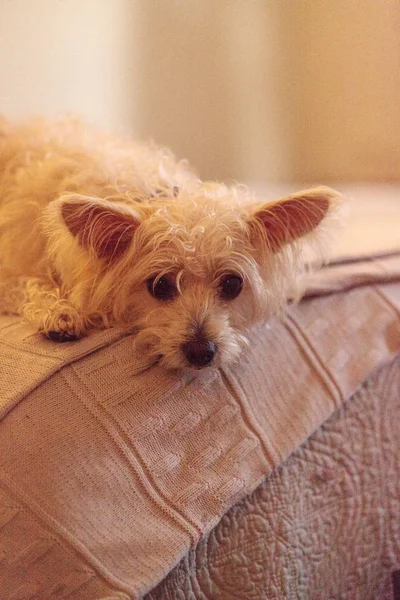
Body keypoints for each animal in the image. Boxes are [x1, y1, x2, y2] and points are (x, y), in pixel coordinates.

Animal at [0, 117, 344, 370]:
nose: (201, 352)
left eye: (232, 284)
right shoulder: (12, 272)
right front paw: (58, 312)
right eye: (160, 286)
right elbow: (29, 285)